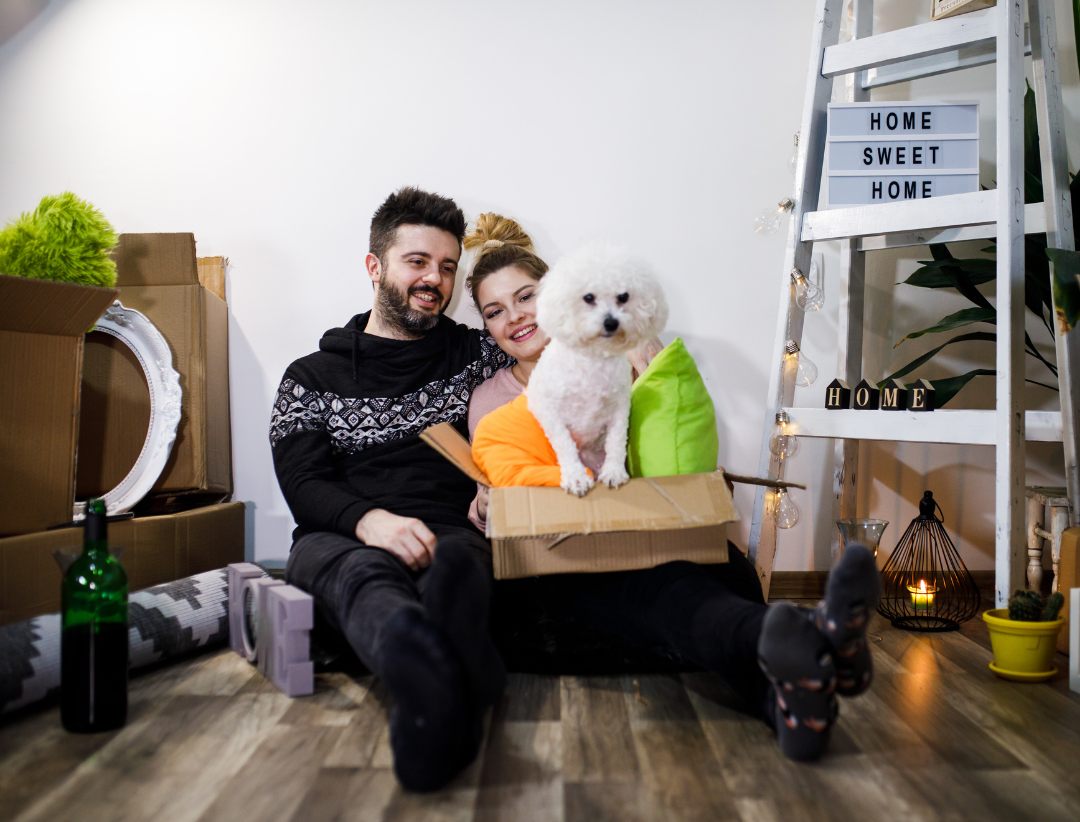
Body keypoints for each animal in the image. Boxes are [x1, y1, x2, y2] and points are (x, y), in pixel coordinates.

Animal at [529, 237, 669, 494]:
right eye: (588, 298)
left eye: (623, 297)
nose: (611, 322)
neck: (593, 360)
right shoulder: (547, 408)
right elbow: (564, 443)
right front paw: (575, 477)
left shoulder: (619, 408)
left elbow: (616, 441)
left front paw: (613, 472)